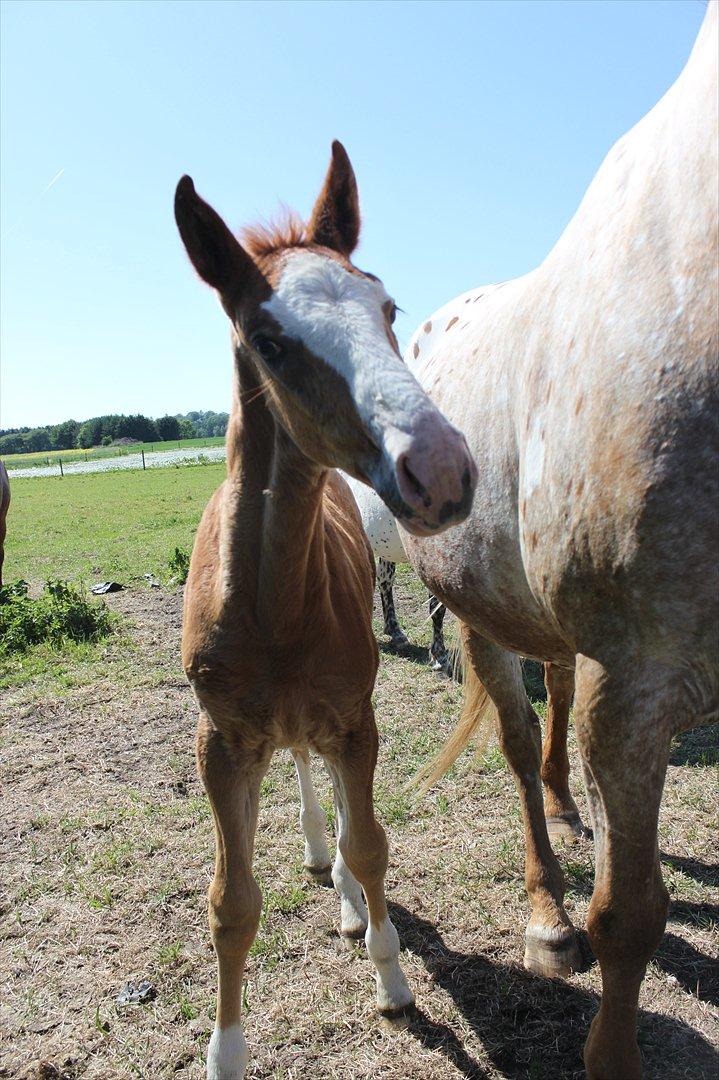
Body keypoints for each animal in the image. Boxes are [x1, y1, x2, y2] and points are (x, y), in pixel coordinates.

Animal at [173, 143, 475, 1080]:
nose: (440, 469)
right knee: (303, 774)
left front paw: (392, 980)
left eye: (386, 309)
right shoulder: (220, 741)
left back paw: (340, 889)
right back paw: (314, 852)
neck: (270, 611)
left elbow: (370, 844)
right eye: (269, 341)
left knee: (336, 800)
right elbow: (230, 902)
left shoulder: (354, 718)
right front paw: (225, 1052)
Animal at [399, 4, 712, 1075]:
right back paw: (547, 914)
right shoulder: (639, 681)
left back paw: (573, 812)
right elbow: (629, 916)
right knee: (518, 738)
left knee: (555, 712)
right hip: (479, 617)